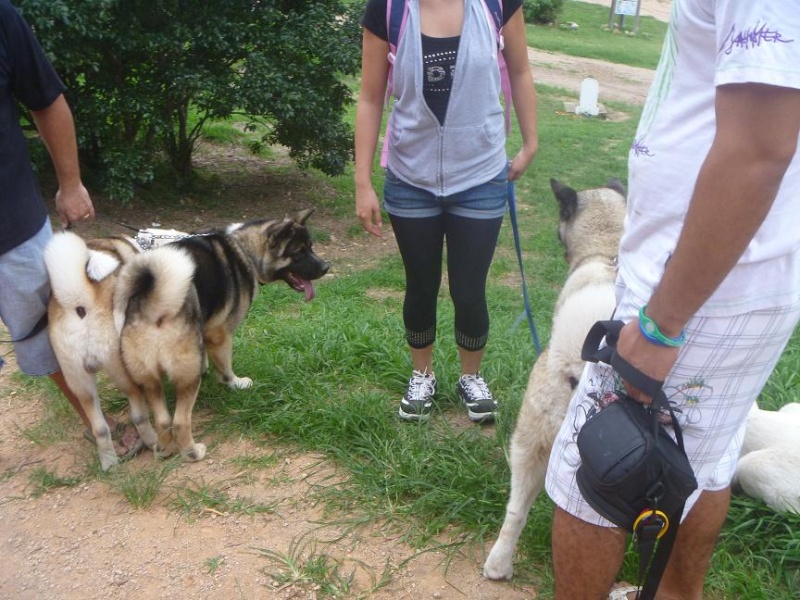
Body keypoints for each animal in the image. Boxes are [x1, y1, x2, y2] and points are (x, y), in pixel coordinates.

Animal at [45, 210, 328, 468]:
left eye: (311, 247)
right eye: (300, 252)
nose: (327, 267)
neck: (241, 249)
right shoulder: (219, 334)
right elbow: (225, 366)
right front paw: (235, 383)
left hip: (91, 380)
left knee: (123, 424)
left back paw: (139, 454)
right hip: (138, 373)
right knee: (175, 420)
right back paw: (188, 452)